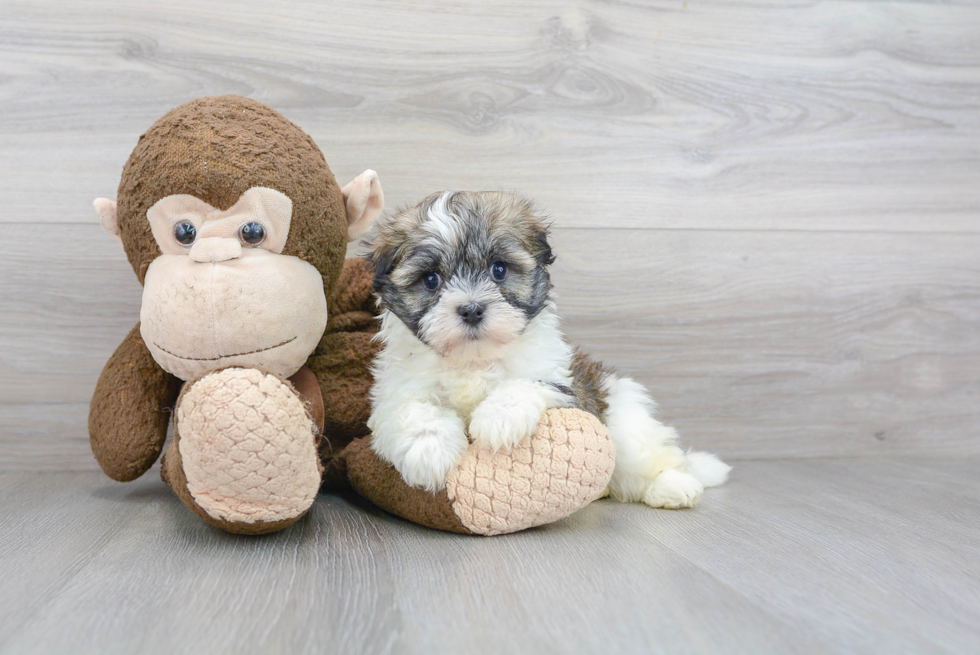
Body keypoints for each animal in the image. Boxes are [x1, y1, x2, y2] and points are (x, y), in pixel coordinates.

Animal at [362, 190, 728, 508]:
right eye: (431, 279)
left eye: (499, 269)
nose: (472, 309)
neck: (473, 361)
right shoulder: (397, 391)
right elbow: (412, 411)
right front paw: (429, 452)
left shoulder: (561, 381)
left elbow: (526, 383)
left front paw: (499, 417)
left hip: (625, 425)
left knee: (650, 458)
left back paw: (673, 485)